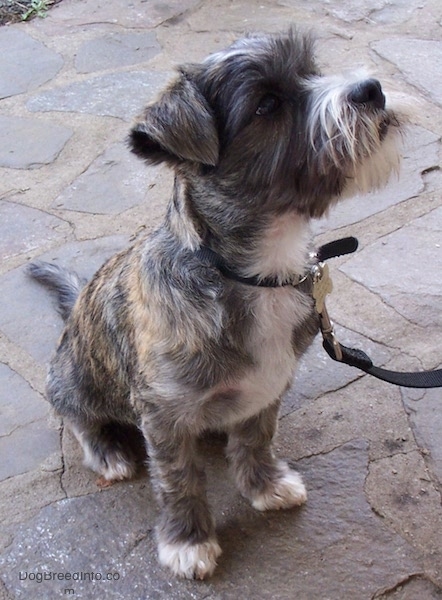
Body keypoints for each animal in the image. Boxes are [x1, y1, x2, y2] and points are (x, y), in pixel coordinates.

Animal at [25, 29, 402, 580]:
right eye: (267, 104)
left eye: (311, 70)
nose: (370, 89)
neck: (254, 272)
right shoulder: (162, 415)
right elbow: (179, 479)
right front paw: (188, 541)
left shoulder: (268, 385)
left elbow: (256, 437)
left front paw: (264, 484)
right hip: (75, 379)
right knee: (73, 412)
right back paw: (106, 450)